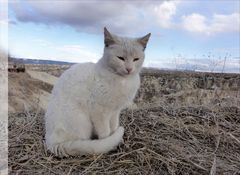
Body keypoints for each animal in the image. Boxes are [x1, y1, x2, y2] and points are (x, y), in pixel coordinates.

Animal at [44, 27, 151, 157]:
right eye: (120, 58)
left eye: (136, 59)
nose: (129, 69)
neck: (123, 81)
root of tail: (51, 143)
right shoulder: (100, 112)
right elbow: (105, 133)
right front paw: (109, 144)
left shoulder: (115, 112)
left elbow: (114, 127)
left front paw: (117, 140)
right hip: (81, 121)